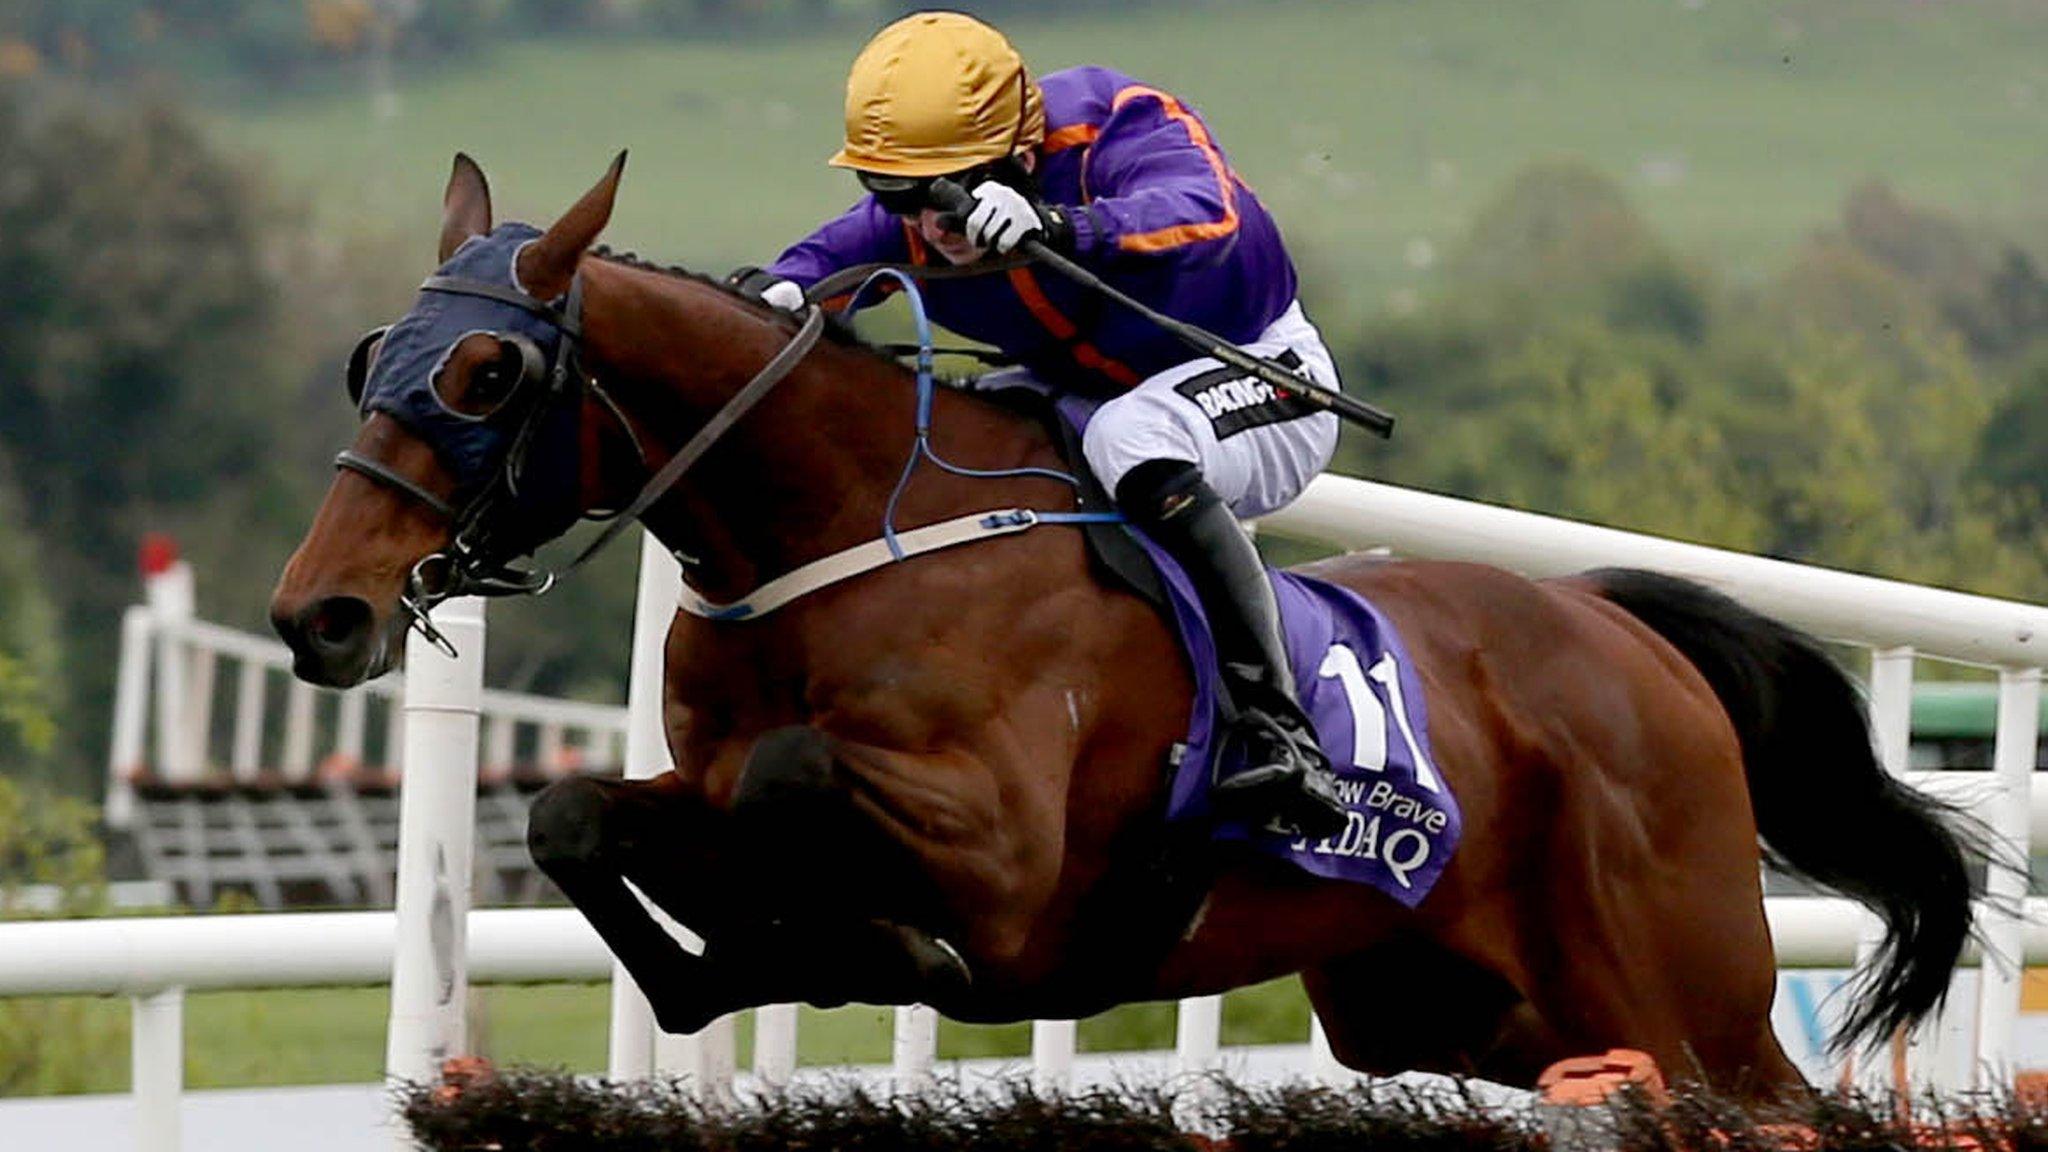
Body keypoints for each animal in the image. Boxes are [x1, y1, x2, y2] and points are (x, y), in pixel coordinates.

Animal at [264, 154, 1974, 1090]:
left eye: (488, 373)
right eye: (367, 359)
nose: (320, 614)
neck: (842, 532)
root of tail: (1632, 642)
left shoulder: (1009, 860)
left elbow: (809, 810)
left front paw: (838, 933)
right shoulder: (691, 783)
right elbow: (581, 822)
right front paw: (720, 959)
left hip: (1685, 995)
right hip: (1468, 1012)